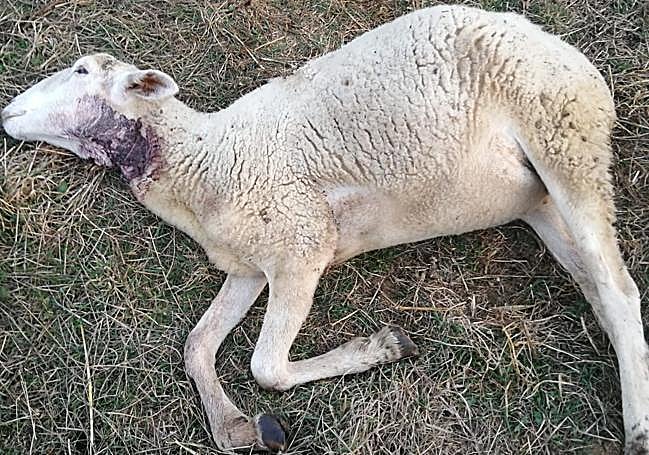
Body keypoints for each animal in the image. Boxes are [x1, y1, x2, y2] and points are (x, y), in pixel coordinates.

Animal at [1, 4, 647, 454]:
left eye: (82, 69)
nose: (7, 110)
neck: (205, 160)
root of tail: (554, 42)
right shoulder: (247, 266)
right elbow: (197, 345)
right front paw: (238, 427)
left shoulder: (303, 243)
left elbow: (265, 366)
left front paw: (381, 348)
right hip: (537, 197)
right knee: (598, 285)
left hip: (563, 131)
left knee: (619, 289)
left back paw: (637, 429)